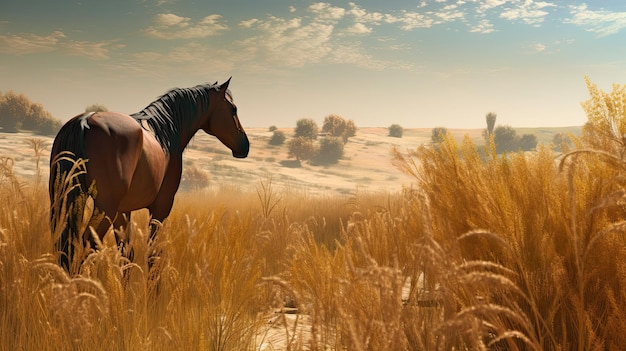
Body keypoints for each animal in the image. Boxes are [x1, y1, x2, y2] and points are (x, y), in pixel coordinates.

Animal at [49, 79, 249, 272]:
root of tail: (85, 121)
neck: (164, 134)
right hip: (105, 208)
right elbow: (153, 256)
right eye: (233, 109)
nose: (245, 145)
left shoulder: (123, 211)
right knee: (86, 247)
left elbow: (126, 255)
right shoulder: (161, 207)